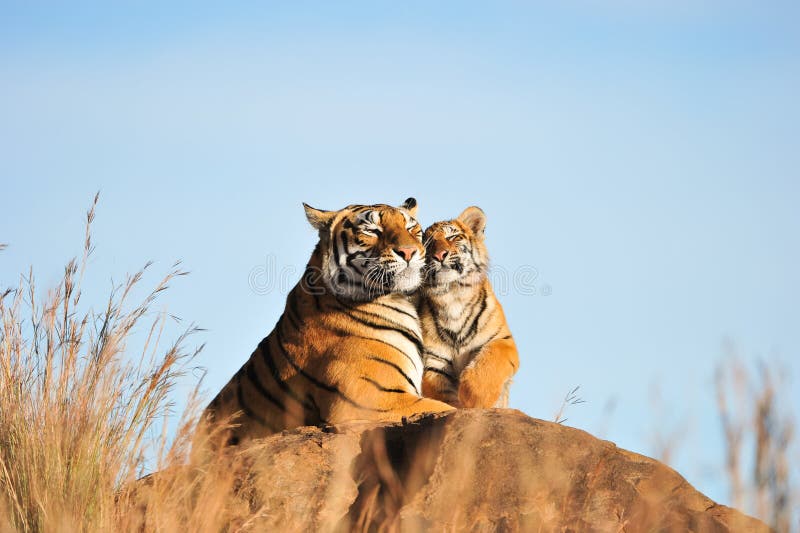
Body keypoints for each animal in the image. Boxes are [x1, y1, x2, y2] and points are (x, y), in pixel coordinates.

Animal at [416, 206, 519, 408]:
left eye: (452, 237)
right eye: (427, 244)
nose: (439, 255)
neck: (453, 296)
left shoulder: (502, 340)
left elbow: (489, 363)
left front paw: (473, 399)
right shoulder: (433, 361)